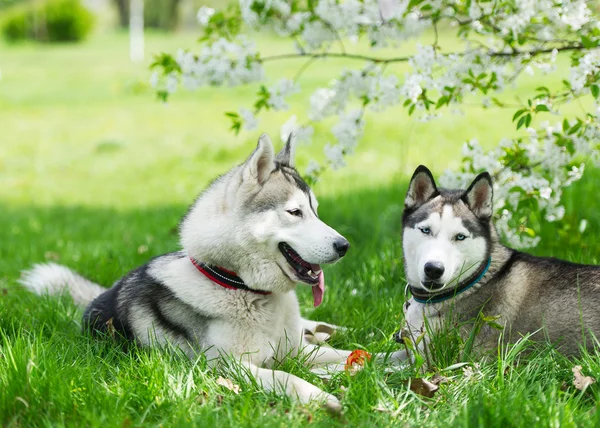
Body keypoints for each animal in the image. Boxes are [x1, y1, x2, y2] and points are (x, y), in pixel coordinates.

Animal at [19, 135, 356, 412]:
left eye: (315, 211)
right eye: (294, 212)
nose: (344, 246)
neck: (238, 285)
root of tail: (101, 293)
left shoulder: (296, 349)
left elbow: (350, 353)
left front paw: (363, 361)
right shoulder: (226, 367)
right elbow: (286, 376)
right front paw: (319, 396)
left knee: (316, 329)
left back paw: (336, 328)